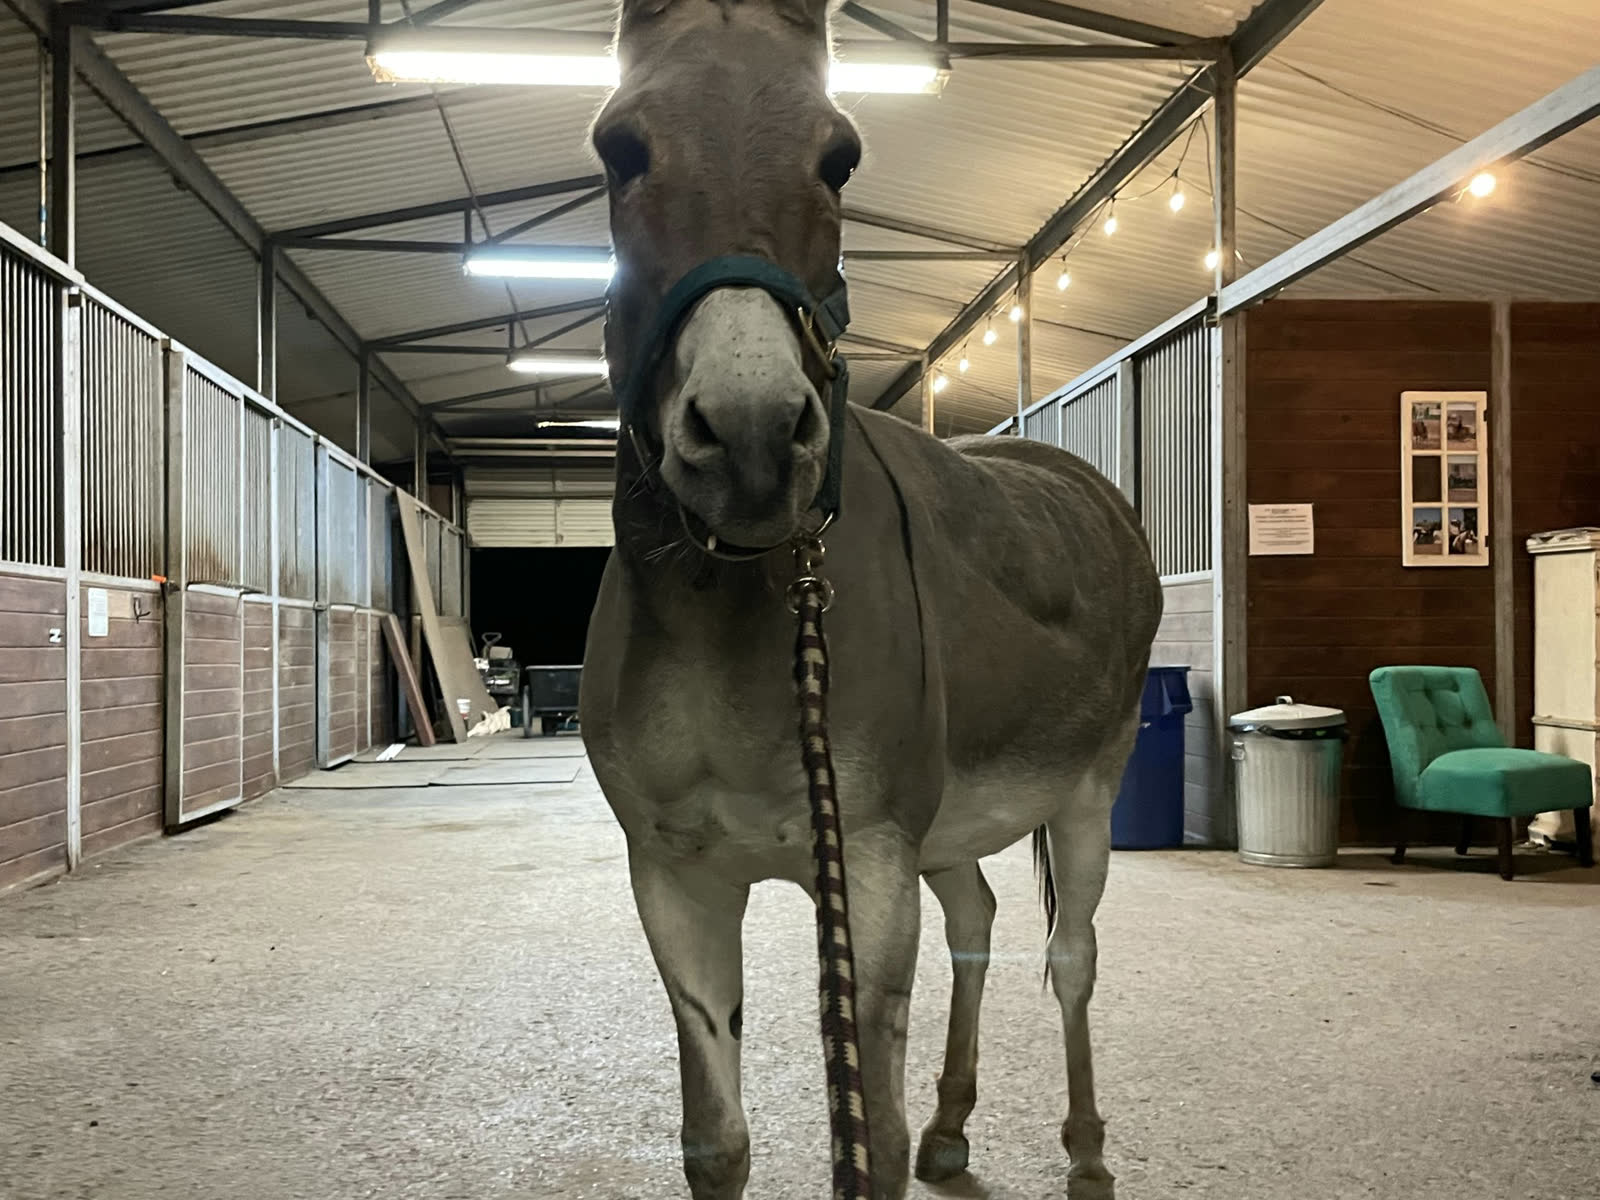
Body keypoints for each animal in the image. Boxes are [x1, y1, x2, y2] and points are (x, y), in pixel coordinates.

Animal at [578, 1, 1163, 1196]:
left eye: (839, 157)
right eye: (620, 149)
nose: (753, 438)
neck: (728, 607)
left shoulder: (872, 861)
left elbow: (872, 1140)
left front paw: (911, 1137)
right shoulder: (675, 880)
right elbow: (716, 1142)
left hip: (1089, 787)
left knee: (1071, 956)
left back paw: (1084, 1154)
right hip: (954, 828)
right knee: (980, 916)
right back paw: (954, 1127)